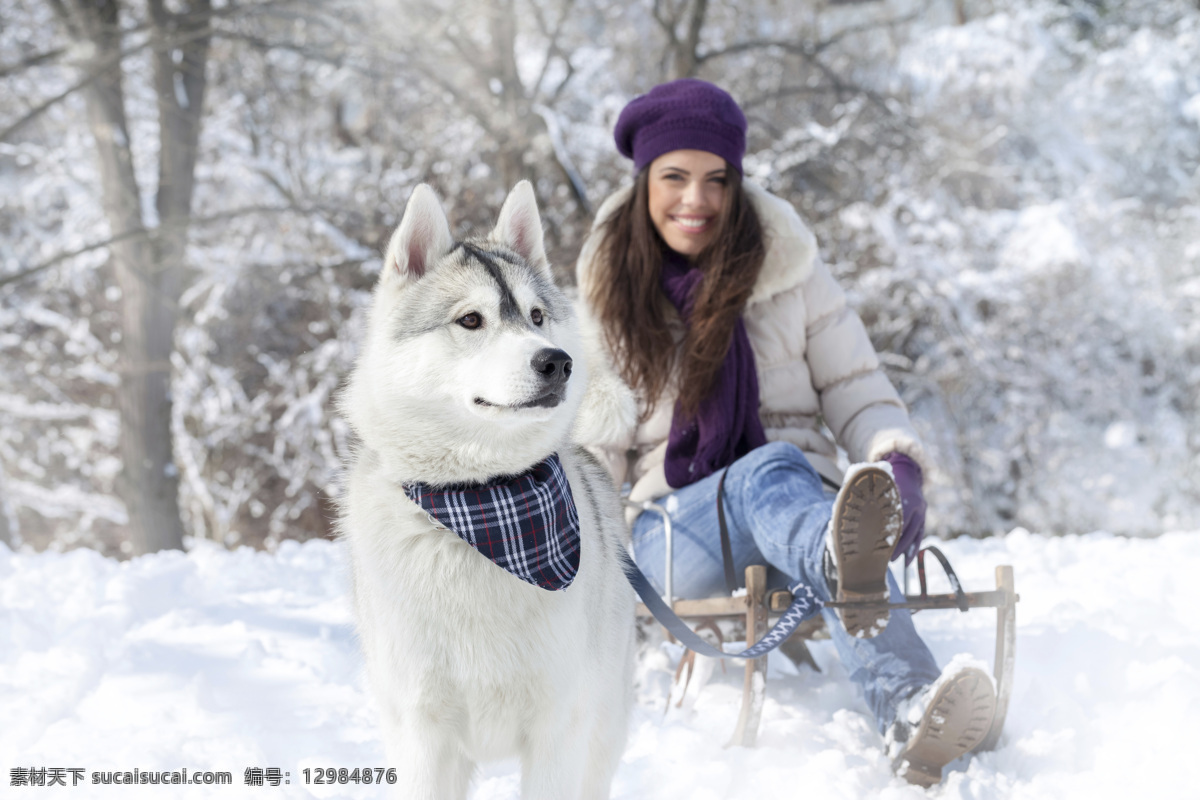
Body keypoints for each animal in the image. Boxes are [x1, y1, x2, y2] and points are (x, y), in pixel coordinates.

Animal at [338, 183, 638, 800]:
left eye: (537, 316)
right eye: (471, 320)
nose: (557, 362)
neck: (482, 503)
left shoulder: (558, 730)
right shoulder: (422, 734)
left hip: (602, 731)